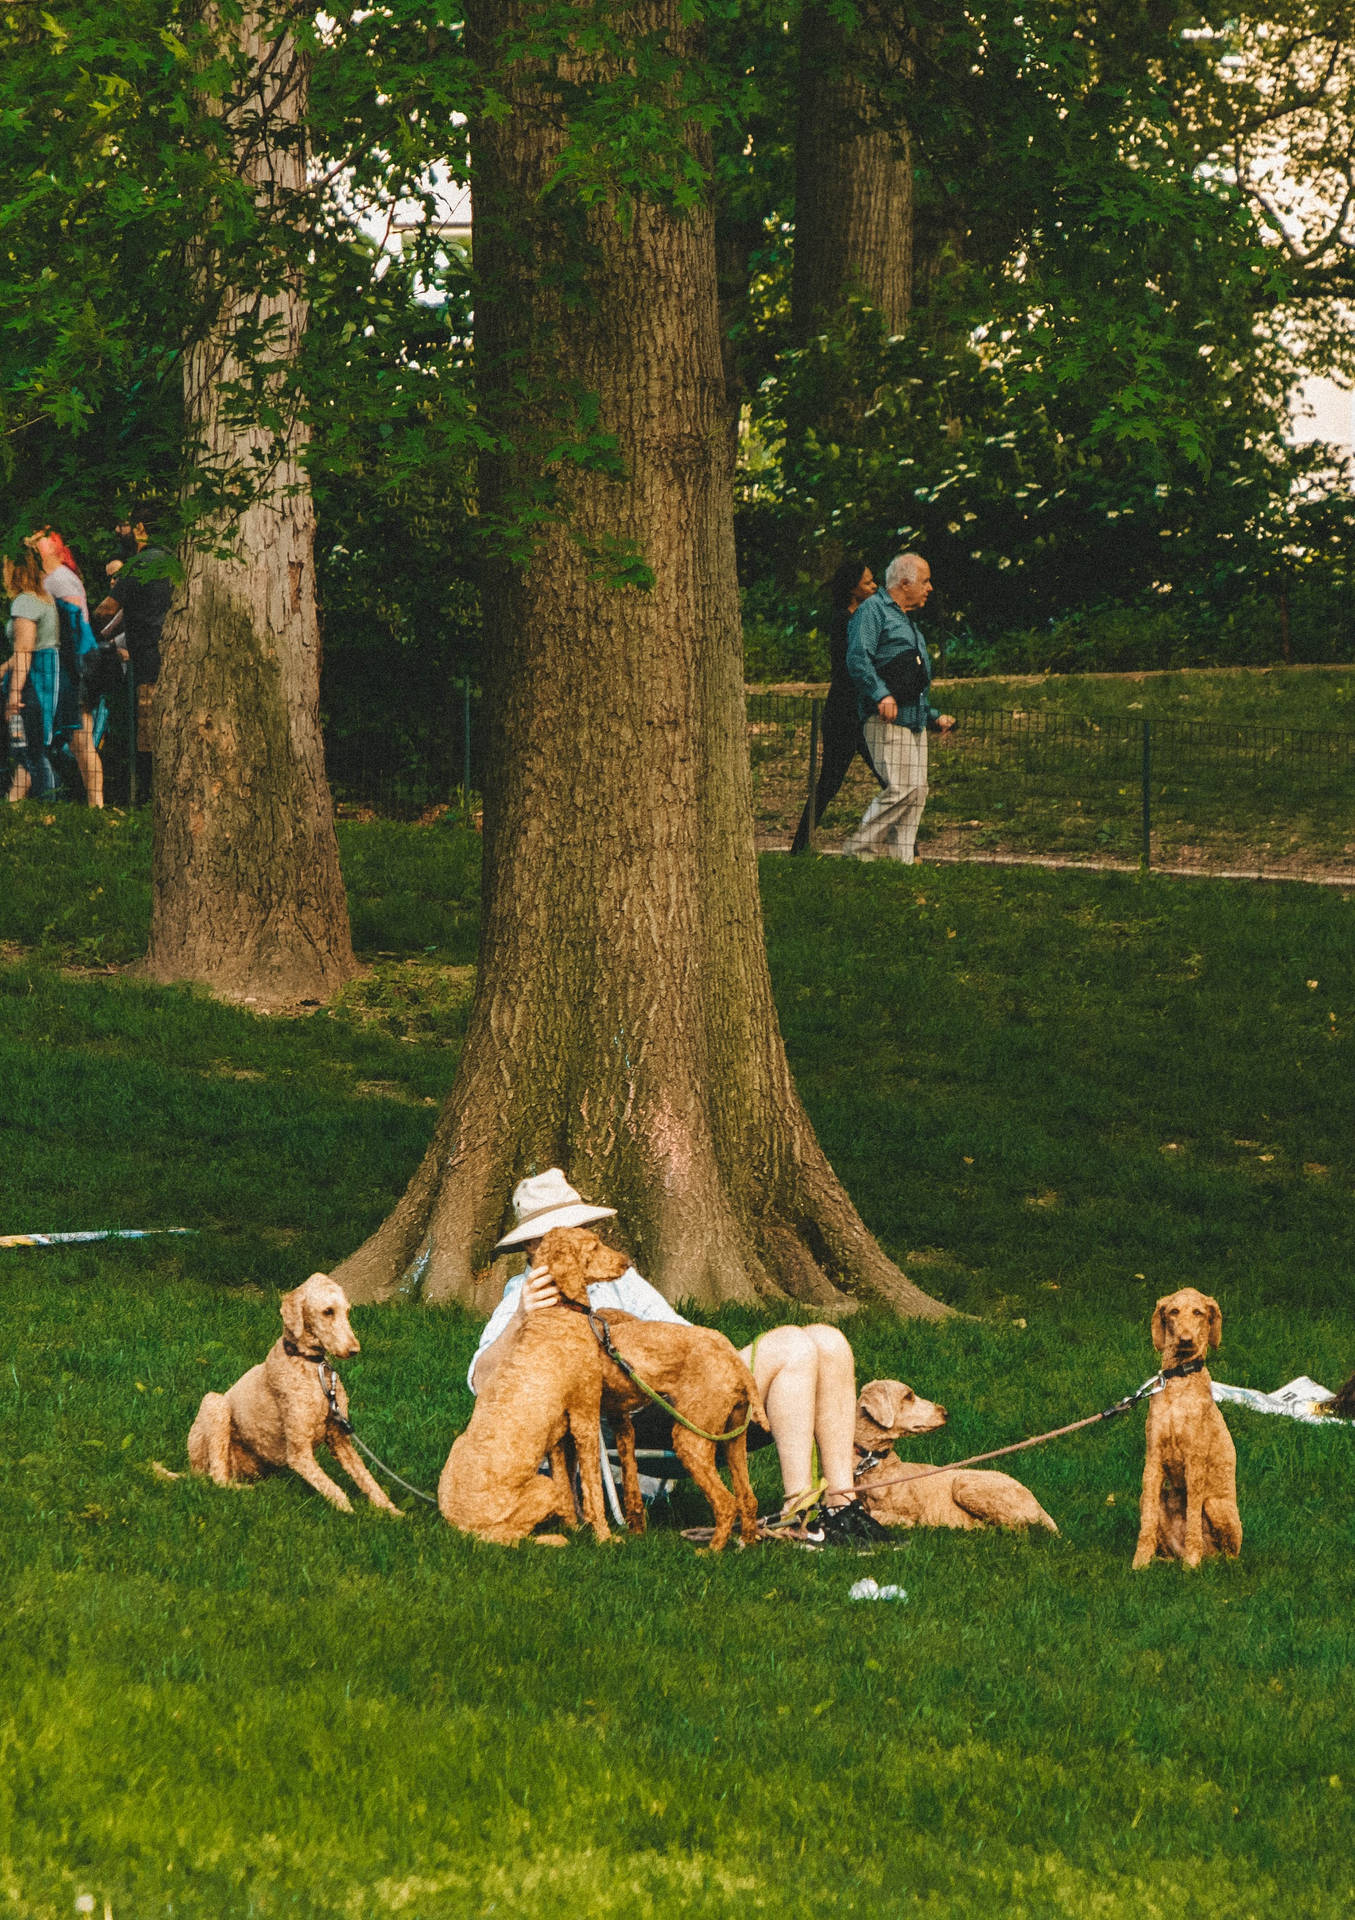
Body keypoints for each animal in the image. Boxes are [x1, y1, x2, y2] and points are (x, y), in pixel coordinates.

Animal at [183, 1274, 401, 1512]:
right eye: (328, 1311)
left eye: (347, 1311)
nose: (354, 1350)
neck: (310, 1366)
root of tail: (191, 1471)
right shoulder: (299, 1453)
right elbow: (333, 1489)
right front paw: (349, 1512)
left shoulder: (341, 1440)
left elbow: (367, 1480)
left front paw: (392, 1512)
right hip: (215, 1405)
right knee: (218, 1479)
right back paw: (247, 1491)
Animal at [435, 1228, 610, 1543]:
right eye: (594, 1247)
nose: (626, 1262)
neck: (556, 1312)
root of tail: (461, 1529)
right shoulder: (585, 1415)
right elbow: (592, 1487)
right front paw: (605, 1536)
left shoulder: (559, 1433)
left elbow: (567, 1487)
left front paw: (573, 1525)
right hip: (539, 1489)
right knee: (508, 1538)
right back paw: (552, 1540)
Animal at [855, 1382, 1059, 1528]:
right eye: (908, 1396)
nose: (945, 1413)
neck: (874, 1464)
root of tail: (1040, 1507)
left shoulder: (913, 1511)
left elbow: (881, 1515)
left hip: (964, 1483)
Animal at [1128, 1290, 1236, 1574]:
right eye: (1173, 1311)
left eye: (1198, 1312)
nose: (1185, 1340)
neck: (1178, 1380)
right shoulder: (1153, 1459)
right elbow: (1147, 1523)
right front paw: (1140, 1562)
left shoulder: (1195, 1462)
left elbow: (1193, 1524)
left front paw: (1191, 1563)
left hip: (1216, 1505)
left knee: (1230, 1555)